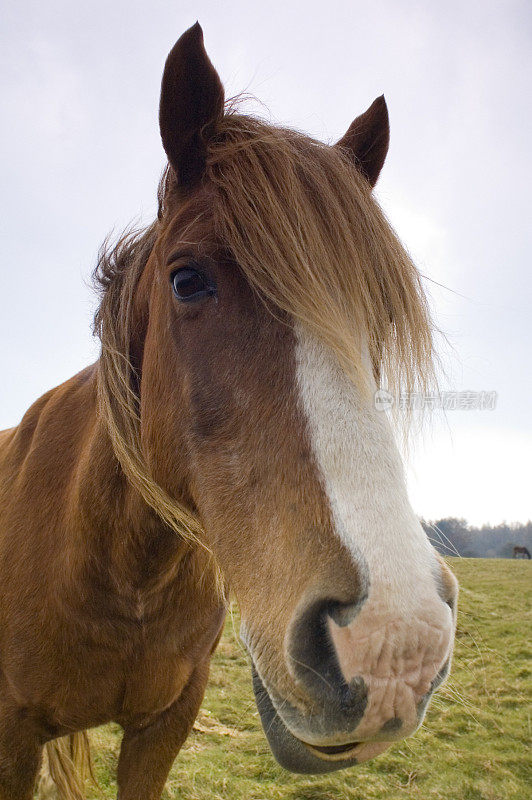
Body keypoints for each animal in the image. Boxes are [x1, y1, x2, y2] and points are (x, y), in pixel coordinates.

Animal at [0, 21, 458, 796]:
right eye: (187, 280)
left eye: (384, 317)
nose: (395, 641)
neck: (122, 569)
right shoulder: (12, 736)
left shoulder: (163, 728)